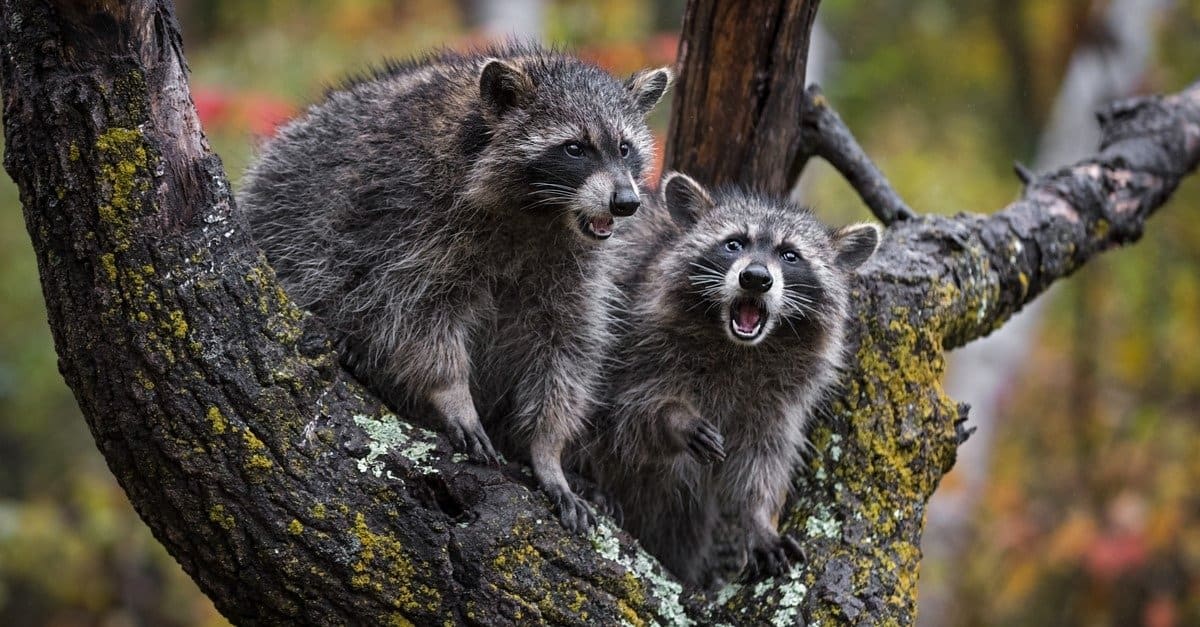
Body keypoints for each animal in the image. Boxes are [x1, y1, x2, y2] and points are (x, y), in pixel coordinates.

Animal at [239, 43, 672, 532]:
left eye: (624, 148)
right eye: (575, 148)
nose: (626, 202)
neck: (542, 213)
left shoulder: (577, 268)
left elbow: (566, 348)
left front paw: (548, 451)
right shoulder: (411, 215)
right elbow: (416, 313)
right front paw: (451, 391)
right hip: (282, 207)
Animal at [586, 172, 880, 585]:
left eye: (790, 255)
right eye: (734, 243)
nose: (755, 278)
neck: (740, 347)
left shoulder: (779, 399)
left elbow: (762, 457)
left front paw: (757, 519)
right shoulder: (633, 337)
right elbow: (627, 413)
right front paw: (674, 419)